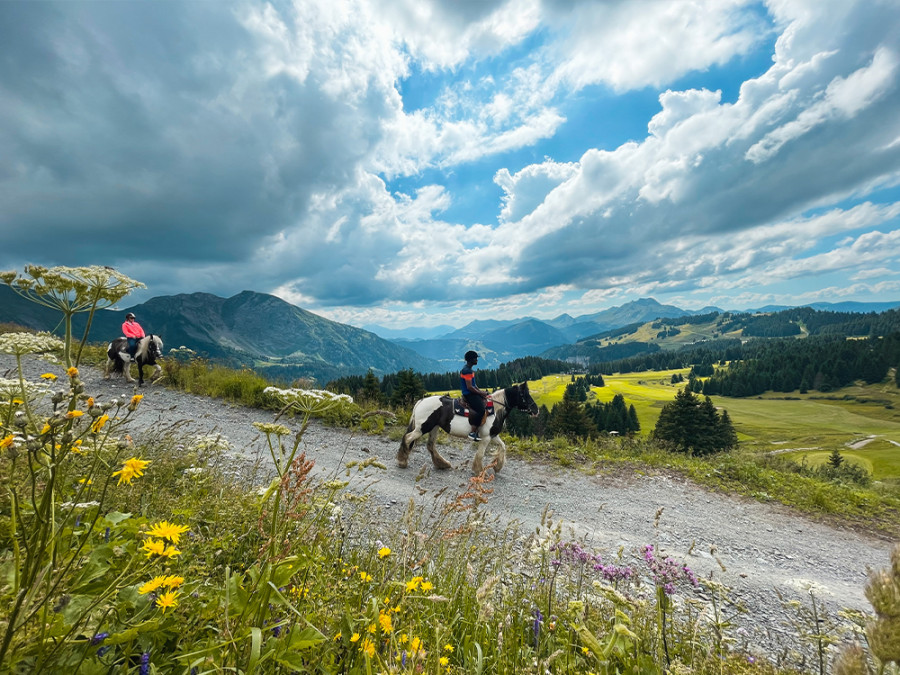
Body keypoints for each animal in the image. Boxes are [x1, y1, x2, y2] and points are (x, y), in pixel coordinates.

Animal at [398, 380, 536, 476]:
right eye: (524, 394)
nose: (536, 410)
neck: (494, 410)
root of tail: (421, 401)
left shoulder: (493, 435)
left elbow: (502, 446)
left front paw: (497, 466)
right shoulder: (486, 437)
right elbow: (480, 454)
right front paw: (479, 471)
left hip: (434, 427)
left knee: (430, 445)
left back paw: (443, 464)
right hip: (422, 428)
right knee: (408, 438)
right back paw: (402, 461)